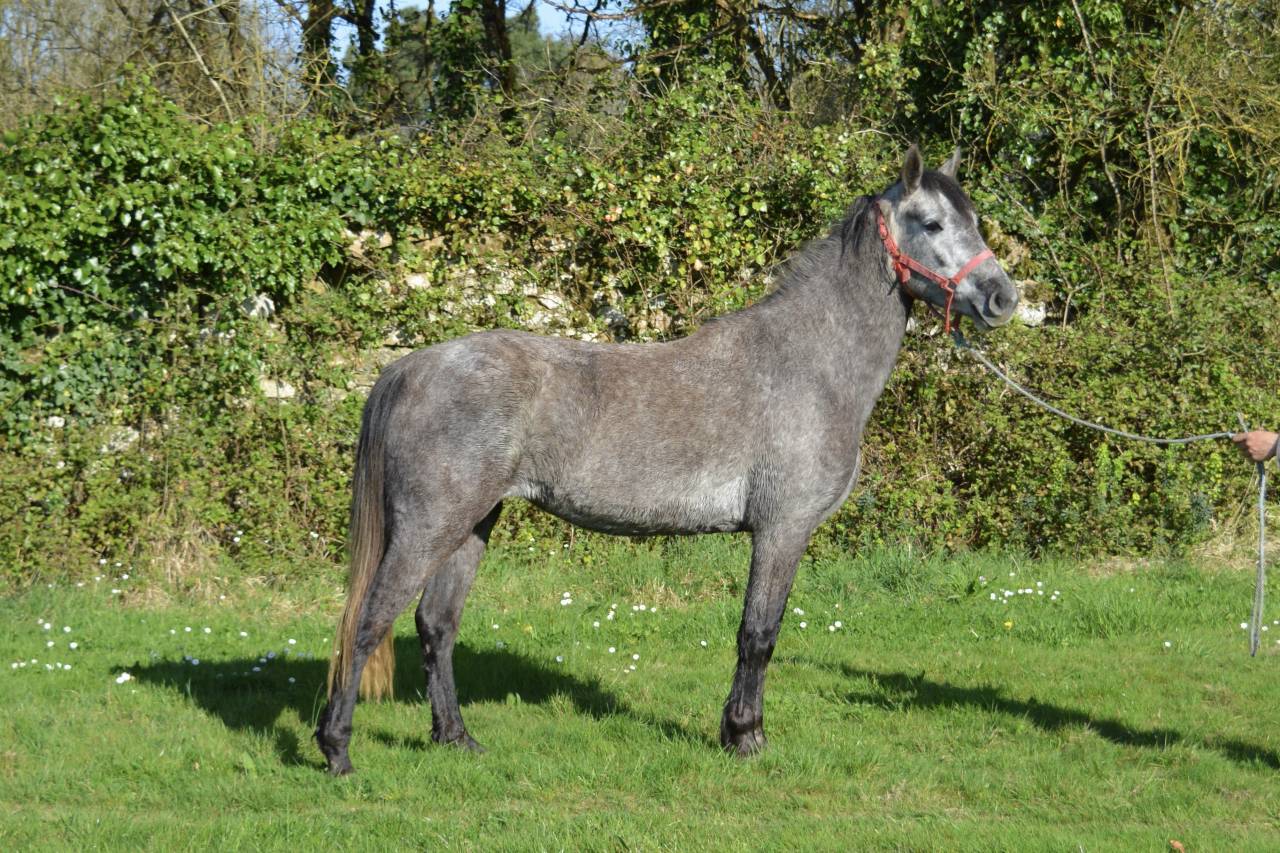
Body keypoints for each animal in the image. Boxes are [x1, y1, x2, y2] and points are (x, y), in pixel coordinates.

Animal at [316, 144, 1019, 774]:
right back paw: (337, 750)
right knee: (369, 620)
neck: (808, 364)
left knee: (436, 626)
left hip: (471, 525)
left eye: (974, 219)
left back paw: (456, 740)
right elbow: (758, 635)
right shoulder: (782, 530)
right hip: (427, 528)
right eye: (931, 223)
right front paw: (745, 737)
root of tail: (410, 367)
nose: (1001, 298)